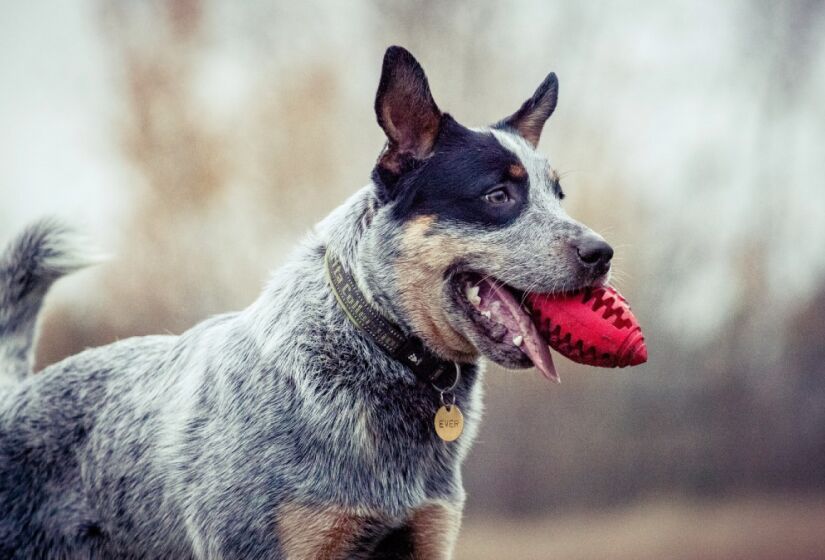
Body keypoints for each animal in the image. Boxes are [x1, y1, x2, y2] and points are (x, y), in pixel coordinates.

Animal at [0, 48, 608, 560]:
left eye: (558, 196)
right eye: (498, 195)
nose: (602, 253)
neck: (376, 348)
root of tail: (16, 394)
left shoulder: (426, 533)